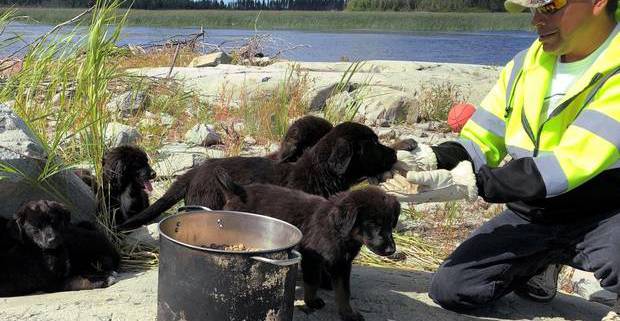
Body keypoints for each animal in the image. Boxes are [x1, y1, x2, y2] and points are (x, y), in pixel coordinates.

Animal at [214, 168, 402, 320]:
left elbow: (344, 291)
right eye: (372, 224)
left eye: (390, 223)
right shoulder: (312, 257)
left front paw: (348, 313)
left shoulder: (342, 263)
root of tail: (238, 191)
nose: (391, 250)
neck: (339, 232)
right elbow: (312, 281)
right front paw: (312, 302)